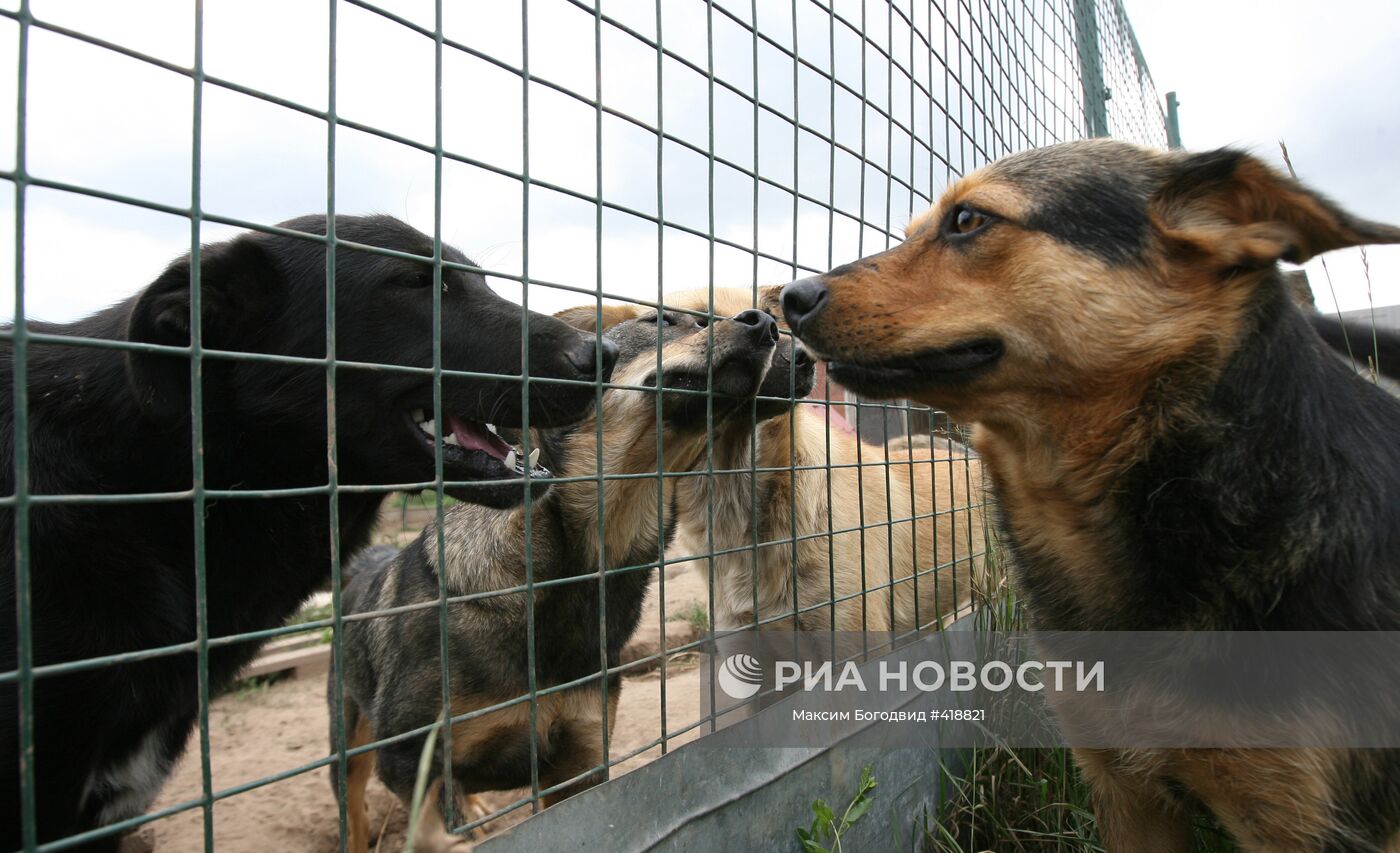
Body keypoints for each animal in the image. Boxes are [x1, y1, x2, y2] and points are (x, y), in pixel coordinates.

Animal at [333, 302, 784, 845]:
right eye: (659, 322)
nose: (767, 324)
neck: (581, 570)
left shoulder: (581, 761)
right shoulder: (411, 761)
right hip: (349, 746)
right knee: (354, 811)